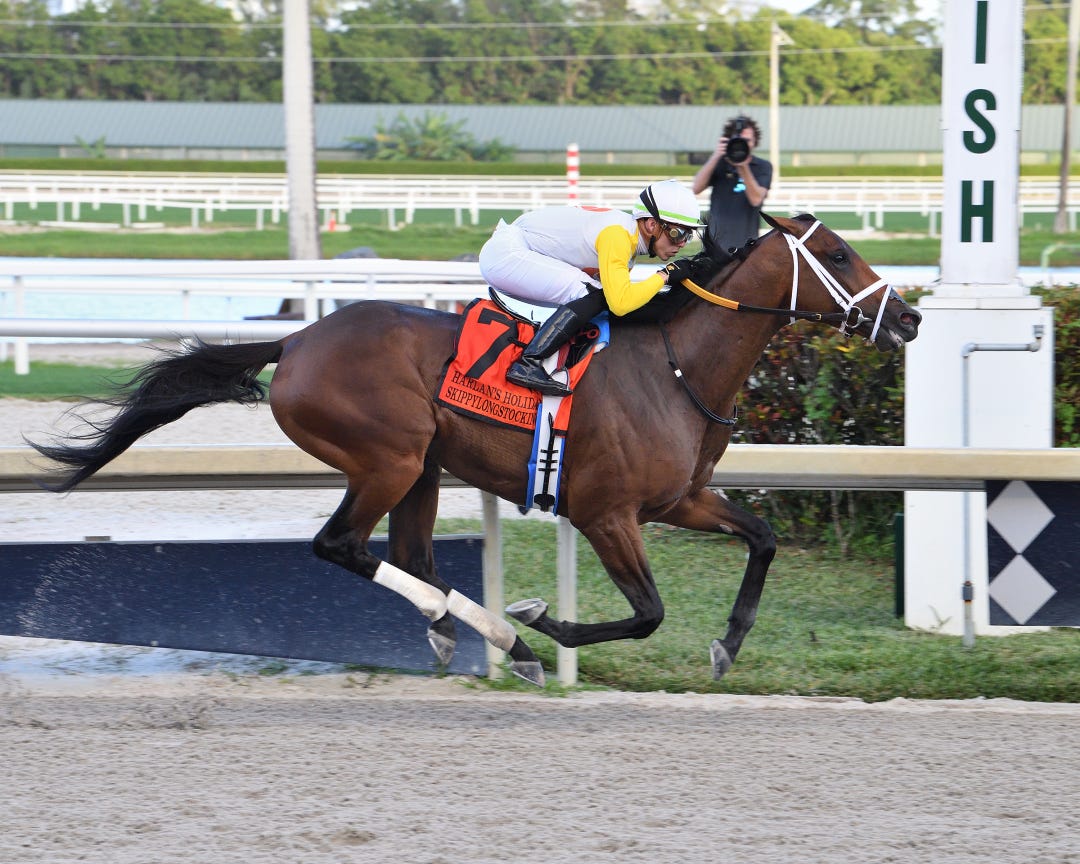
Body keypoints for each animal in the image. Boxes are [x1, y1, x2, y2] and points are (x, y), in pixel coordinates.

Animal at [29, 213, 921, 687]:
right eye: (837, 254)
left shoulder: (682, 500)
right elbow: (645, 614)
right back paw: (512, 640)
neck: (675, 367)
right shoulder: (606, 513)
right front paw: (546, 622)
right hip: (387, 458)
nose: (910, 318)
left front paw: (728, 646)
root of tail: (297, 340)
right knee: (342, 546)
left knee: (412, 557)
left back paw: (462, 631)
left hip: (420, 465)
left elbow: (762, 540)